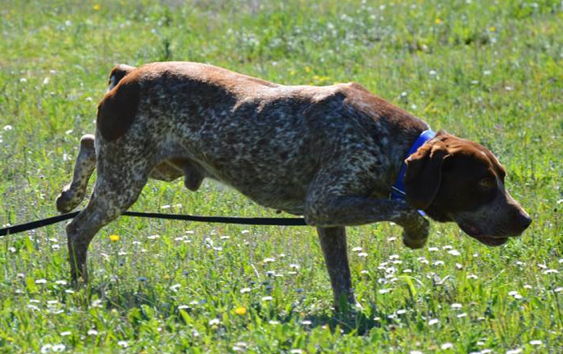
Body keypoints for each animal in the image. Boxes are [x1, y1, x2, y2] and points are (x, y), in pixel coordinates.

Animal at [55, 62, 532, 308]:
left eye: (502, 177)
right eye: (483, 183)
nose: (526, 219)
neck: (390, 143)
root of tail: (129, 74)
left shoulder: (330, 217)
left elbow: (342, 277)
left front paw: (349, 316)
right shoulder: (324, 203)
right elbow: (407, 209)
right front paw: (415, 234)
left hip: (154, 165)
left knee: (87, 143)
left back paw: (68, 193)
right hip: (127, 178)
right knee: (78, 229)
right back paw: (81, 285)